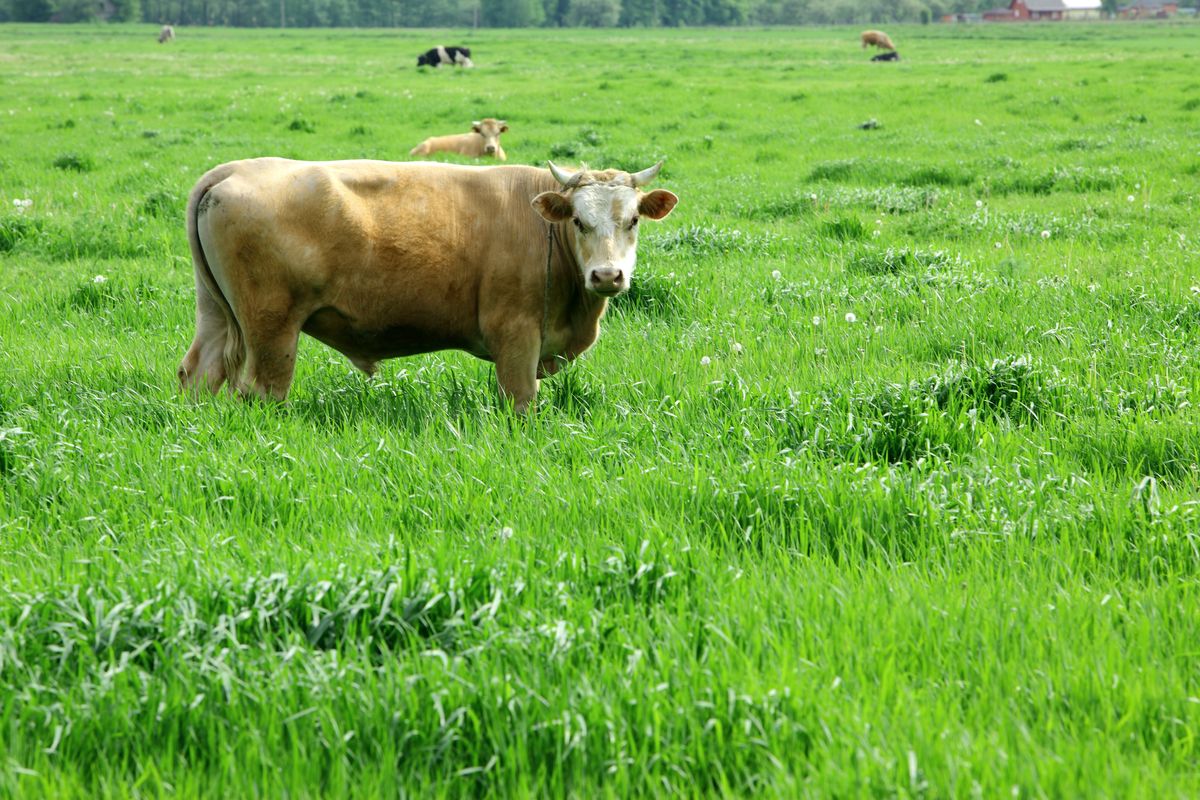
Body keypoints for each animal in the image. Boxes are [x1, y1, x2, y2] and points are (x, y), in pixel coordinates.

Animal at [181, 160, 681, 417]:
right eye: (578, 220)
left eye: (633, 220)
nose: (607, 276)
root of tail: (232, 170)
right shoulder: (516, 336)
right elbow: (520, 401)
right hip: (272, 327)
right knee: (261, 390)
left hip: (215, 314)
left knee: (199, 373)